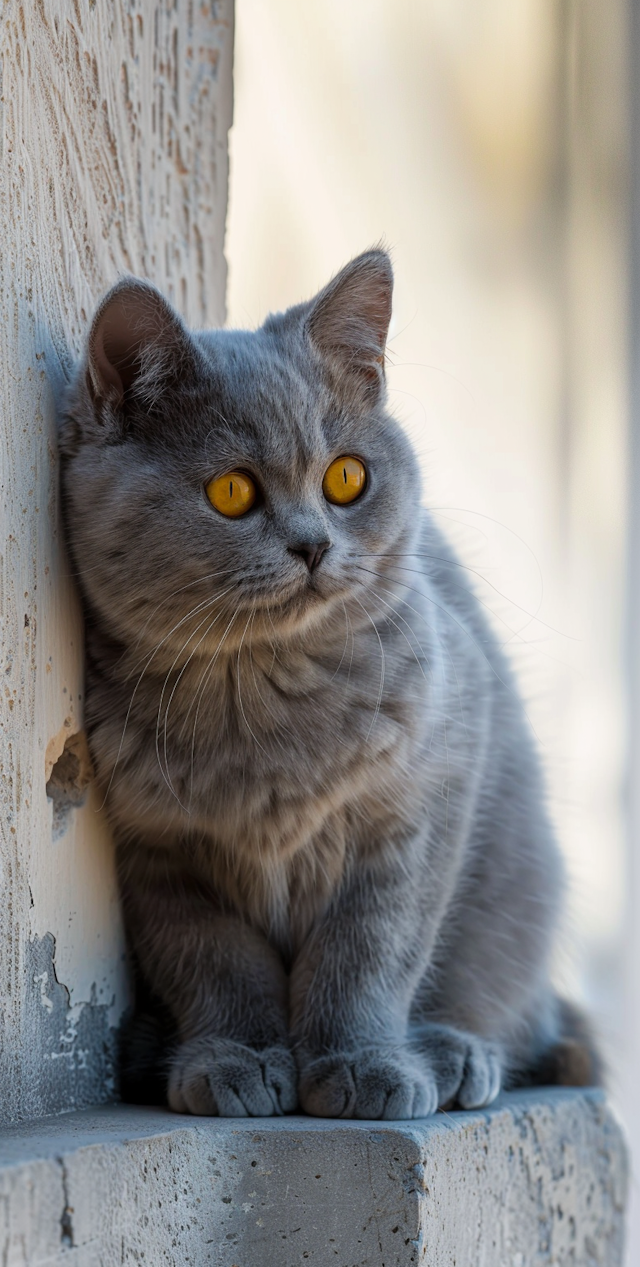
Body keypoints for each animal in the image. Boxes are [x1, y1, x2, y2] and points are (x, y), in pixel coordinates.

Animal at [58, 249, 593, 1120]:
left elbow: (368, 950)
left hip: (520, 884)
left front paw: (362, 1063)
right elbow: (214, 960)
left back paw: (452, 1053)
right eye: (232, 491)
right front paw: (236, 1058)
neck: (261, 697)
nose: (313, 545)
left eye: (347, 477)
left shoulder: (420, 801)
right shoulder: (156, 850)